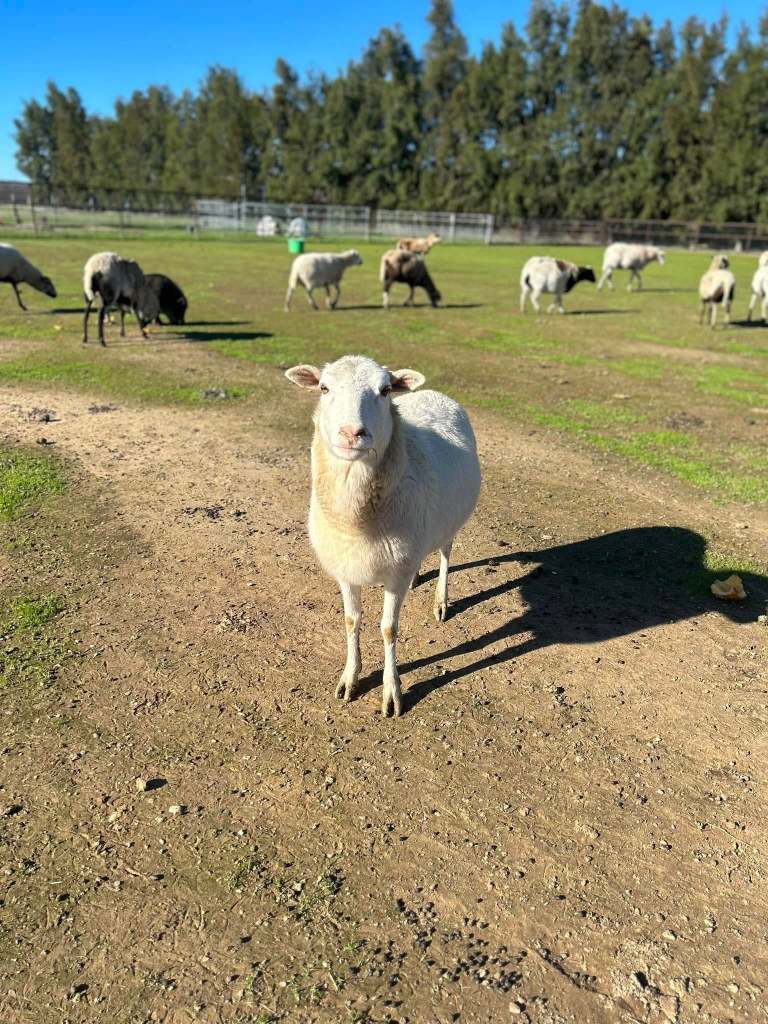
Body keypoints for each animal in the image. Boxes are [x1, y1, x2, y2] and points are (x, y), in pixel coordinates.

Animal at [285, 354, 481, 717]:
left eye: (386, 390)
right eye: (324, 388)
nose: (351, 433)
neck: (357, 522)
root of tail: (434, 393)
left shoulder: (394, 575)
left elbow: (389, 629)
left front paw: (392, 691)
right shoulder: (347, 567)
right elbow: (351, 621)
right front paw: (350, 677)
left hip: (450, 521)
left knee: (445, 553)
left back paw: (441, 601)